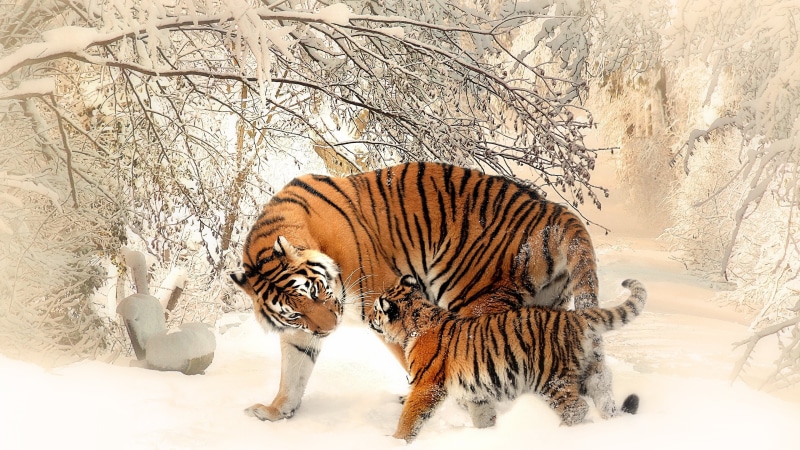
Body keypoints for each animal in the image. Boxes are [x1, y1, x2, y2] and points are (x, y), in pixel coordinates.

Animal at [230, 162, 603, 422]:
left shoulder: (383, 299)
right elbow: (293, 371)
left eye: (318, 291)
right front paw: (276, 411)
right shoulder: (300, 332)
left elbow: (412, 356)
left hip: (473, 298)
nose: (330, 329)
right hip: (545, 306)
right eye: (295, 312)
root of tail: (554, 210)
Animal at [369, 275, 646, 442]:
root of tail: (574, 316)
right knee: (604, 397)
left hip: (551, 379)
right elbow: (483, 415)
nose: (369, 318)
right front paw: (487, 435)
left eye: (375, 309)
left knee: (576, 408)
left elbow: (410, 417)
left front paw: (396, 440)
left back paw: (562, 434)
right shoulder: (476, 392)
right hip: (590, 373)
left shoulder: (426, 385)